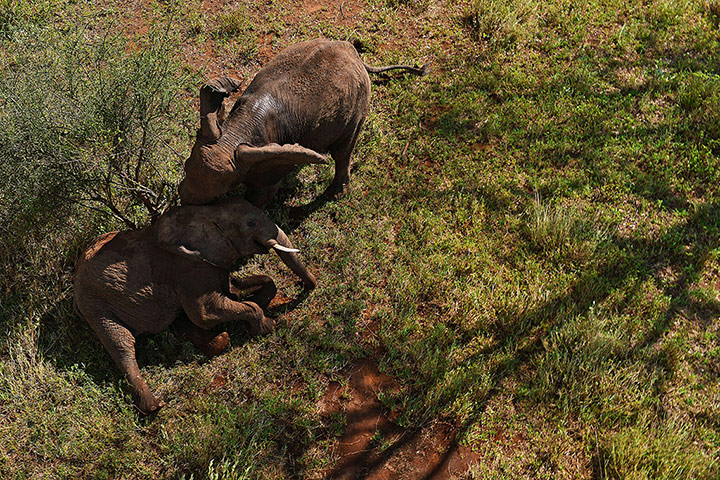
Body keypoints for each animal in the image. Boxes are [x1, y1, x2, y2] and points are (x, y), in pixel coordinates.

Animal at [73, 197, 316, 415]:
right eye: (250, 223)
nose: (306, 286)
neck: (208, 213)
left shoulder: (211, 263)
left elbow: (240, 288)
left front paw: (248, 296)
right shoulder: (188, 269)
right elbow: (204, 313)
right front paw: (267, 326)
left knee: (178, 320)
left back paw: (219, 340)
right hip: (94, 301)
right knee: (121, 343)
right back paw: (154, 406)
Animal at [179, 38, 425, 207]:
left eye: (218, 195)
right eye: (185, 167)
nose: (183, 200)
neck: (239, 129)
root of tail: (355, 54)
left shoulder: (270, 156)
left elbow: (263, 192)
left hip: (359, 104)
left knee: (343, 151)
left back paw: (335, 194)